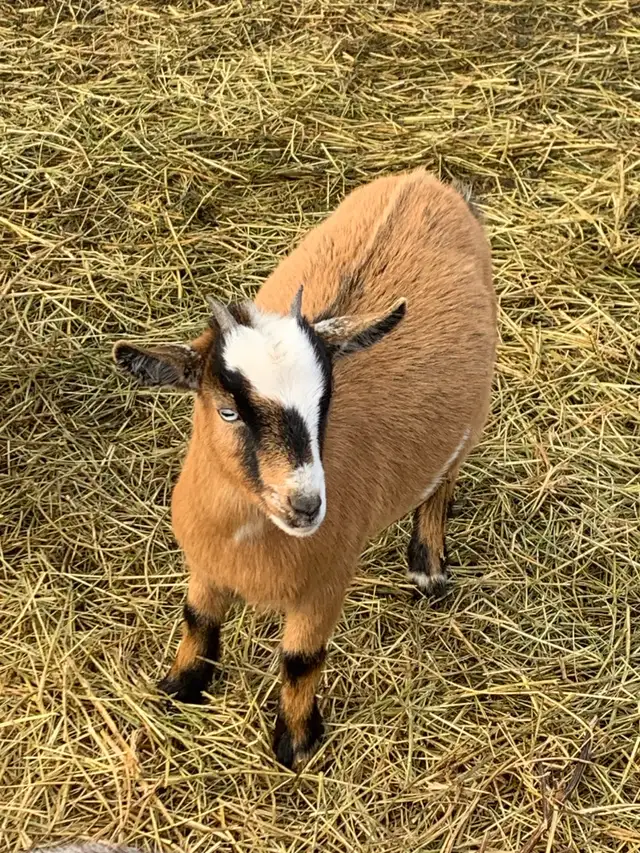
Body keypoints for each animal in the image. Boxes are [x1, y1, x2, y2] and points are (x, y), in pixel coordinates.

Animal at [113, 168, 496, 769]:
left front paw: (295, 743)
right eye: (227, 409)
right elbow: (197, 618)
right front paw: (179, 687)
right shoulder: (206, 564)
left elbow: (301, 660)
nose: (307, 504)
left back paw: (429, 566)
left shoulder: (325, 584)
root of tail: (426, 181)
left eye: (325, 402)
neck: (248, 540)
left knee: (443, 481)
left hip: (474, 411)